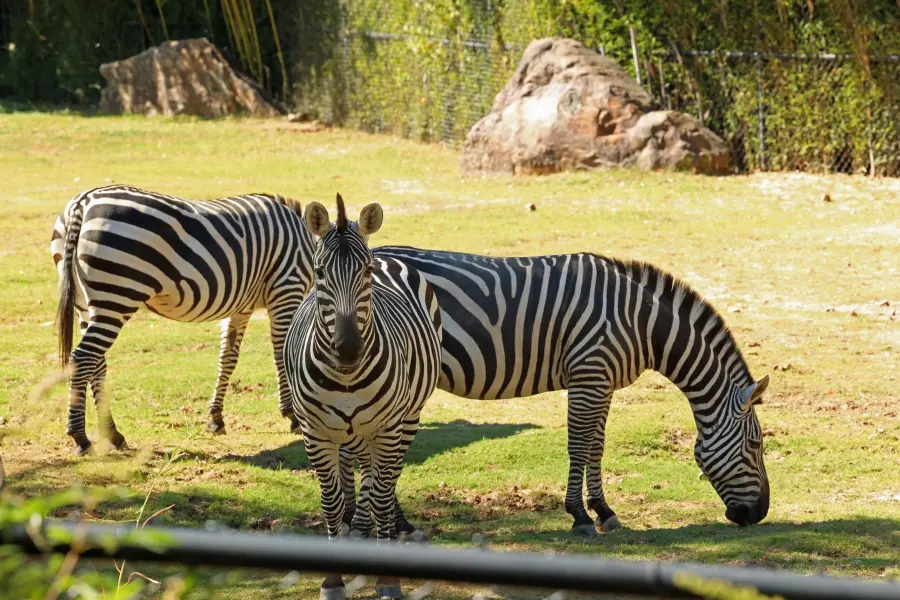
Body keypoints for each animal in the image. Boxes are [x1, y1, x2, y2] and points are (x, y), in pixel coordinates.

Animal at [51, 185, 315, 454]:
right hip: (117, 295)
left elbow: (227, 358)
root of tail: (84, 201)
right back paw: (81, 438)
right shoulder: (287, 287)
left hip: (86, 303)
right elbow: (282, 352)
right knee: (83, 358)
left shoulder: (242, 305)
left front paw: (215, 418)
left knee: (97, 363)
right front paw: (292, 415)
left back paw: (113, 434)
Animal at [283, 195, 442, 600]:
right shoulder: (315, 433)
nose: (348, 350)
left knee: (382, 480)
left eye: (366, 272)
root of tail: (386, 252)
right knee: (361, 476)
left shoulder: (387, 429)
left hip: (406, 419)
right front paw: (332, 580)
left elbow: (382, 496)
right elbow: (331, 501)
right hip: (350, 432)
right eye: (320, 272)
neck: (347, 378)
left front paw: (388, 579)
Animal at [347, 248, 770, 535]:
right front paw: (579, 516)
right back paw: (394, 524)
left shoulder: (603, 381)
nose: (760, 513)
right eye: (755, 445)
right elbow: (578, 445)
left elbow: (597, 445)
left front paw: (604, 511)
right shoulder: (588, 374)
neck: (642, 324)